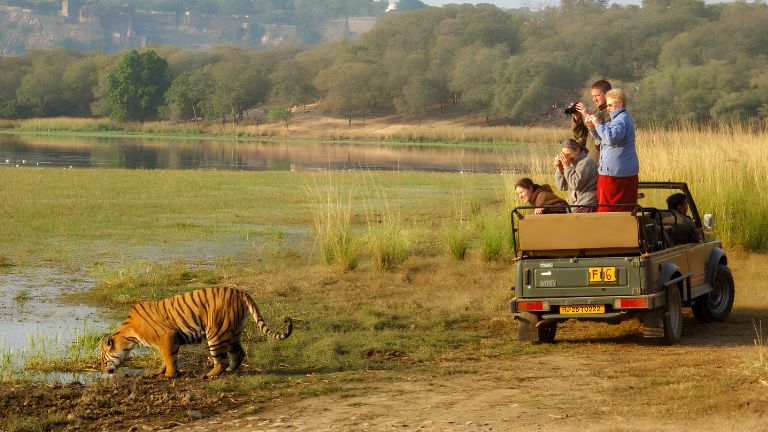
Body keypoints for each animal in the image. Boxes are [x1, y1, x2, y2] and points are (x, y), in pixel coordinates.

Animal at [100, 286, 293, 378]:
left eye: (102, 359)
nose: (103, 370)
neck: (129, 337)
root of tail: (240, 291)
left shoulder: (167, 337)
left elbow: (169, 358)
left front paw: (169, 376)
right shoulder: (168, 341)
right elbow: (166, 359)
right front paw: (159, 372)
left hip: (215, 333)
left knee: (221, 361)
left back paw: (208, 375)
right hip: (233, 333)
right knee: (238, 354)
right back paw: (231, 370)